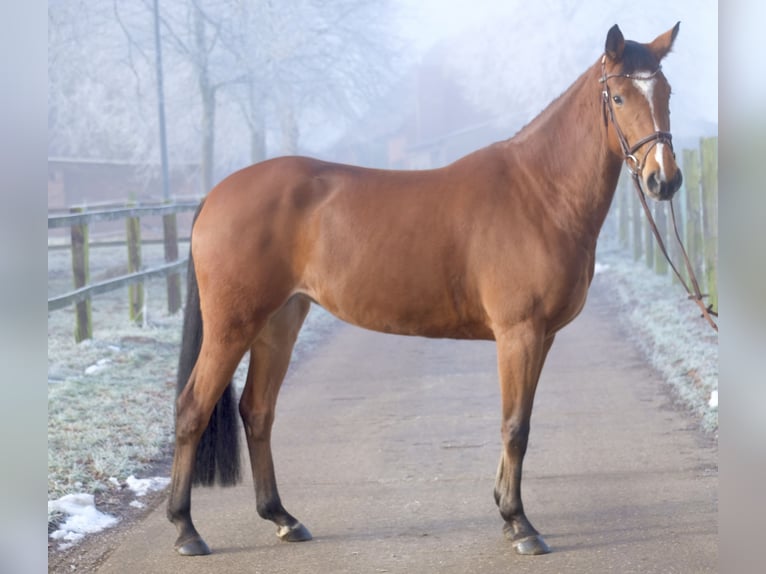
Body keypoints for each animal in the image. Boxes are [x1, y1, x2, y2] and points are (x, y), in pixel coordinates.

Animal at [168, 22, 684, 560]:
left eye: (667, 93)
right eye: (620, 96)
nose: (663, 180)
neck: (539, 193)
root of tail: (217, 194)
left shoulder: (542, 337)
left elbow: (520, 419)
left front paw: (504, 508)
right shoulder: (519, 333)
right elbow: (515, 426)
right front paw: (520, 524)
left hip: (280, 322)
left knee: (258, 411)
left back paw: (283, 518)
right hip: (233, 326)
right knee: (192, 409)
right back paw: (187, 529)